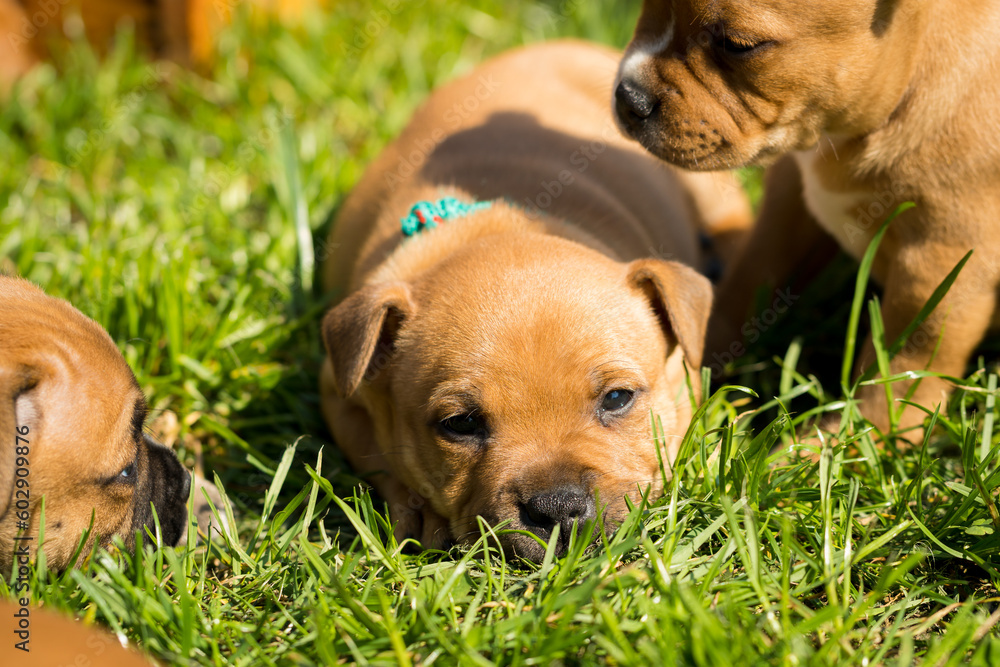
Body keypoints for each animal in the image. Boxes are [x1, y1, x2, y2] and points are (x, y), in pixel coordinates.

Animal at [320, 40, 752, 564]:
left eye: (617, 398)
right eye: (460, 424)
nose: (558, 507)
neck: (499, 227)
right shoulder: (338, 390)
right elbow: (376, 458)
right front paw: (418, 512)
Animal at [612, 0, 1000, 436]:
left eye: (738, 45)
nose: (629, 97)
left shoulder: (939, 258)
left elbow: (907, 357)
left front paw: (860, 435)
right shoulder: (789, 202)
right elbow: (747, 280)